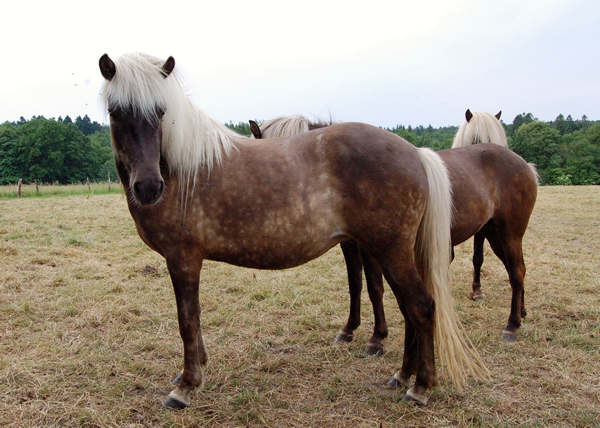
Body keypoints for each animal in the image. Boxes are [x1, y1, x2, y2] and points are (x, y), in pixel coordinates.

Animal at [96, 52, 486, 408]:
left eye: (161, 111)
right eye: (116, 112)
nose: (148, 187)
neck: (184, 169)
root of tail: (416, 154)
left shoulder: (183, 259)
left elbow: (187, 320)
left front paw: (186, 386)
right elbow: (193, 319)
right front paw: (193, 372)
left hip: (391, 250)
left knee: (421, 307)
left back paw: (420, 387)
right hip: (389, 251)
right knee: (409, 310)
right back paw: (402, 376)